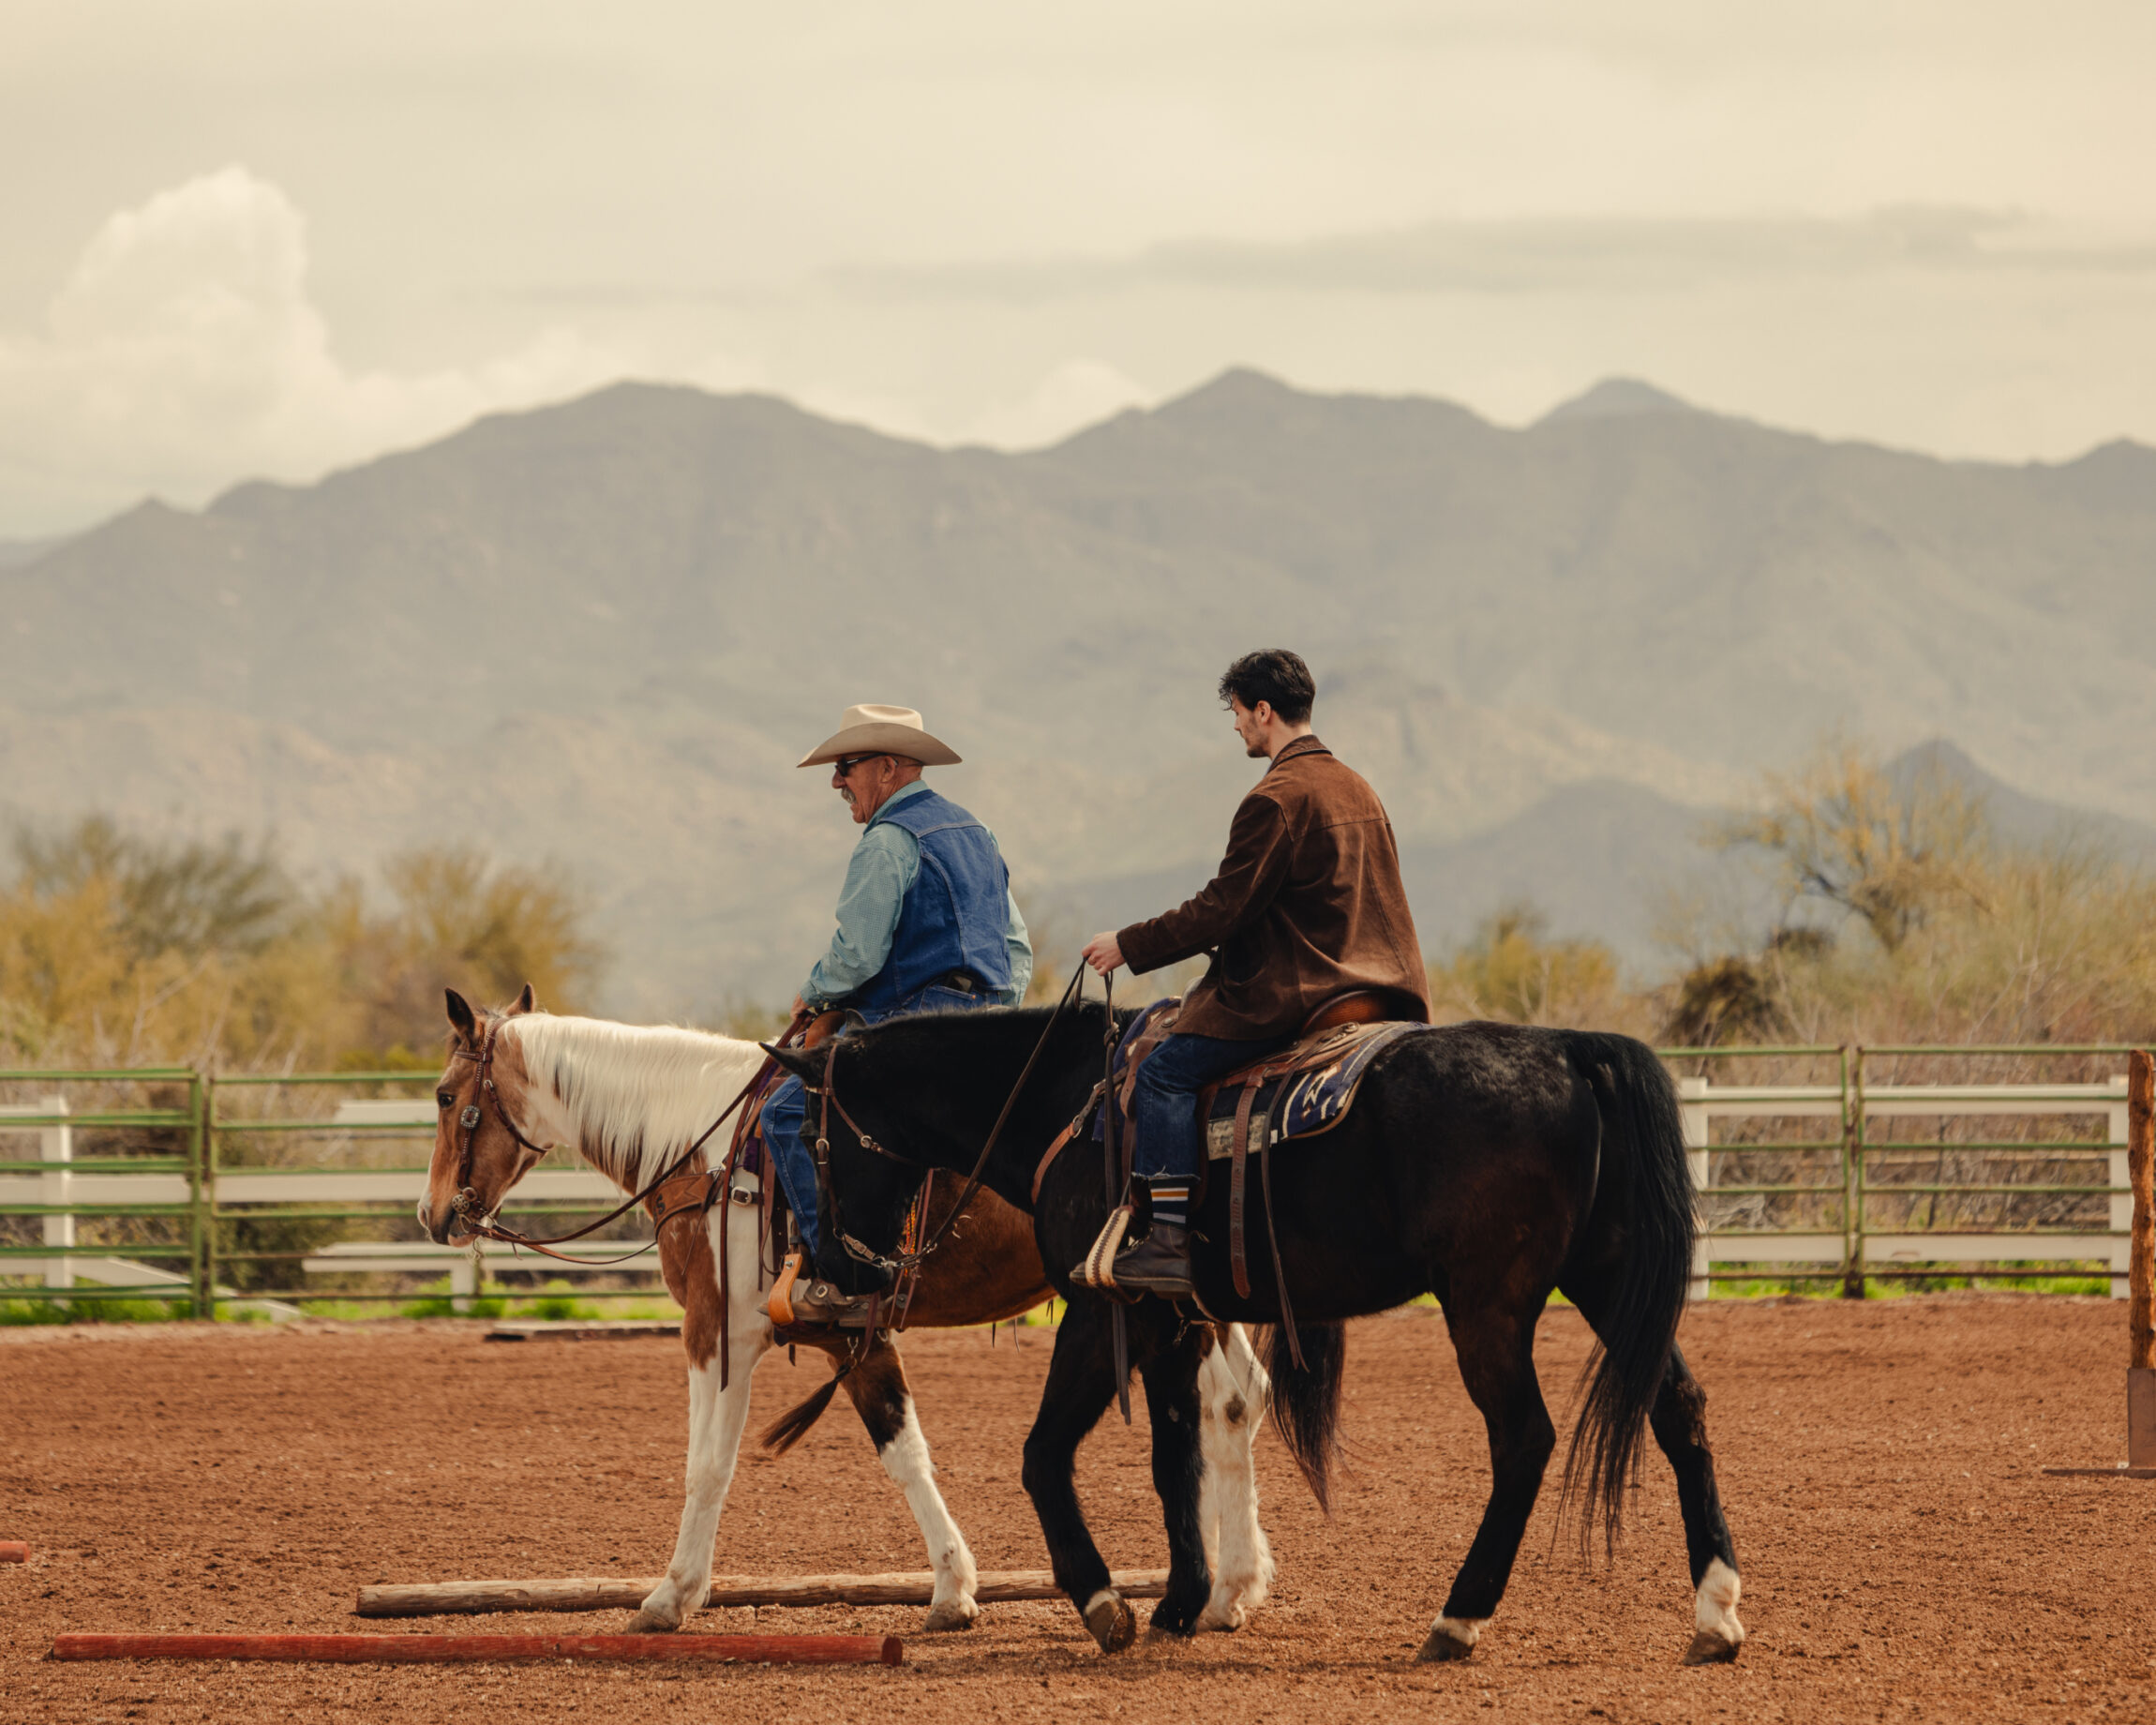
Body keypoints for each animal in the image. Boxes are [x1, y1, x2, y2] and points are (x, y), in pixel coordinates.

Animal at [415, 992, 1276, 1639]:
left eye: (446, 1096)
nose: (432, 1214)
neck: (703, 1148)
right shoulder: (848, 1339)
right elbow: (905, 1451)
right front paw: (954, 1589)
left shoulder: (717, 1332)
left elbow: (709, 1464)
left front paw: (671, 1594)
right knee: (1239, 1400)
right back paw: (1232, 1588)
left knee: (1229, 1402)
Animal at [767, 1004, 1742, 1664]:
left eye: (806, 1138)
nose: (835, 1272)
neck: (1066, 1103)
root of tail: (1571, 1050)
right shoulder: (1166, 1320)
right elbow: (1174, 1461)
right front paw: (1183, 1602)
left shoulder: (1100, 1308)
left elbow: (1043, 1454)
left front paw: (1104, 1602)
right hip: (1608, 1283)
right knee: (1681, 1411)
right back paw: (1717, 1612)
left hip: (1488, 1307)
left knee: (1524, 1439)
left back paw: (1458, 1618)